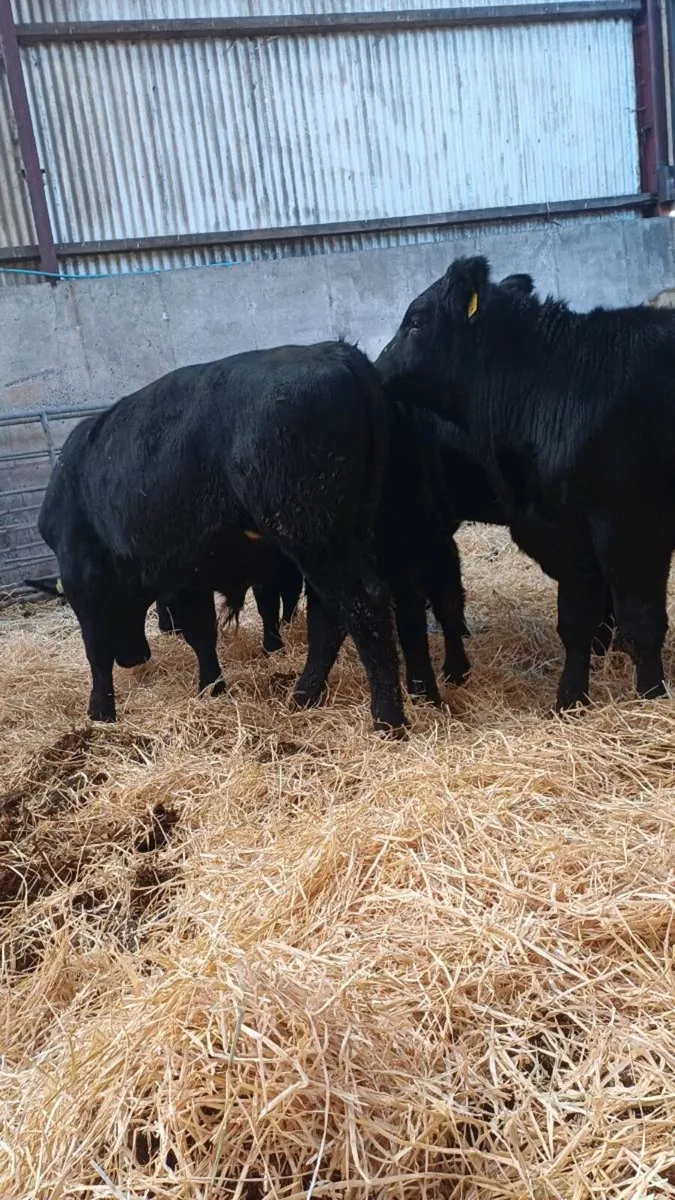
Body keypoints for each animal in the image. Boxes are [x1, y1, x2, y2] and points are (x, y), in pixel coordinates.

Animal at [38, 342, 406, 733]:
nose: (134, 658)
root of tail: (332, 350)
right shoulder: (186, 573)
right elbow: (201, 633)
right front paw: (211, 687)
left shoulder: (83, 578)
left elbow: (96, 648)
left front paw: (100, 711)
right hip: (345, 535)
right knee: (327, 613)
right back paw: (303, 697)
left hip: (315, 535)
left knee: (362, 603)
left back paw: (387, 718)